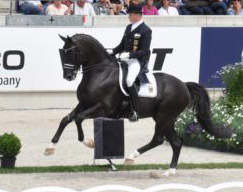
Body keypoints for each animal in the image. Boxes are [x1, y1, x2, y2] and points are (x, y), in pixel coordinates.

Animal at [44, 34, 233, 176]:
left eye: (72, 52)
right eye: (62, 53)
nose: (68, 76)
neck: (100, 73)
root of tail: (184, 85)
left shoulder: (102, 108)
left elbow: (78, 119)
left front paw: (89, 142)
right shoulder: (84, 104)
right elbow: (66, 119)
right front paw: (50, 148)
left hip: (165, 117)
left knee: (165, 140)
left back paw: (141, 161)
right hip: (163, 118)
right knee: (171, 141)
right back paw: (159, 168)